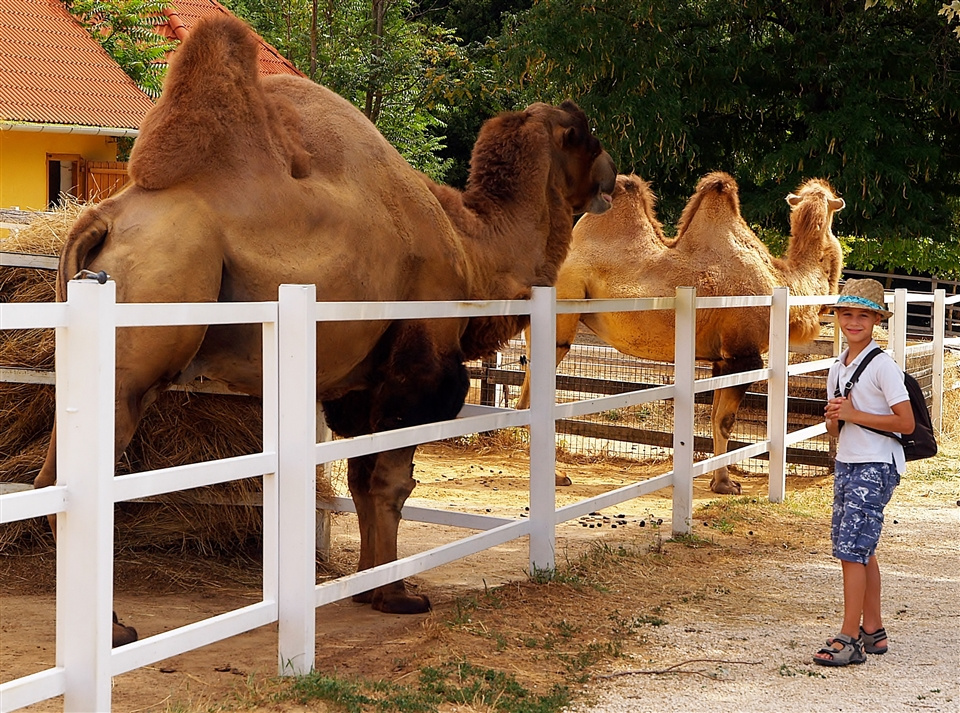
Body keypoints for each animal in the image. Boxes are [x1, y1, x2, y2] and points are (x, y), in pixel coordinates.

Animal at [35, 13, 616, 644]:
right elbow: (392, 482)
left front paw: (365, 586)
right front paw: (396, 595)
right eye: (584, 133)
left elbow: (362, 478)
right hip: (140, 345)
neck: (473, 251)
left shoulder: (357, 384)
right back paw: (114, 631)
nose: (614, 174)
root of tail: (102, 217)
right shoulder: (418, 363)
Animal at [520, 172, 844, 492]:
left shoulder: (721, 360)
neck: (783, 284)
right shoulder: (744, 355)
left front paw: (718, 479)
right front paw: (725, 483)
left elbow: (713, 417)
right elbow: (726, 421)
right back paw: (557, 476)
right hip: (562, 311)